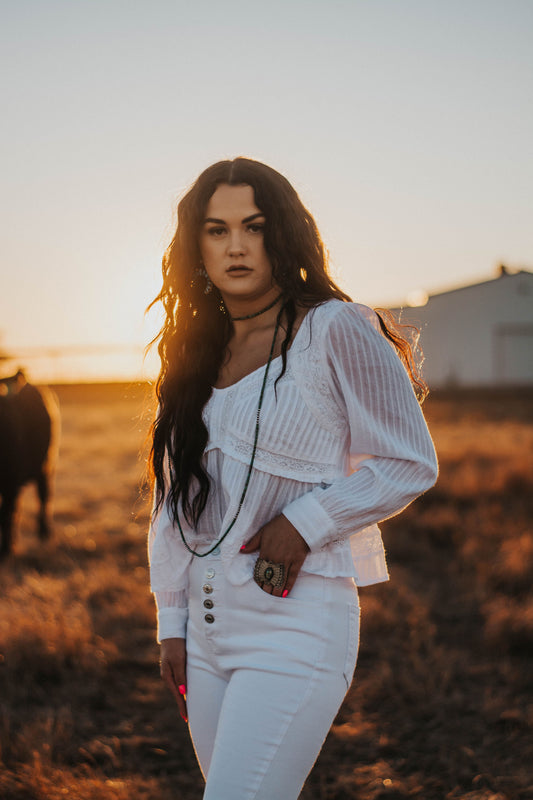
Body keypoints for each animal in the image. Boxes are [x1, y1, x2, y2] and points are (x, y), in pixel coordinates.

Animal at [0, 372, 58, 560]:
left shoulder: (11, 483)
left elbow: (5, 515)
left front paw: (6, 550)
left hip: (46, 467)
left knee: (44, 497)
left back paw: (44, 533)